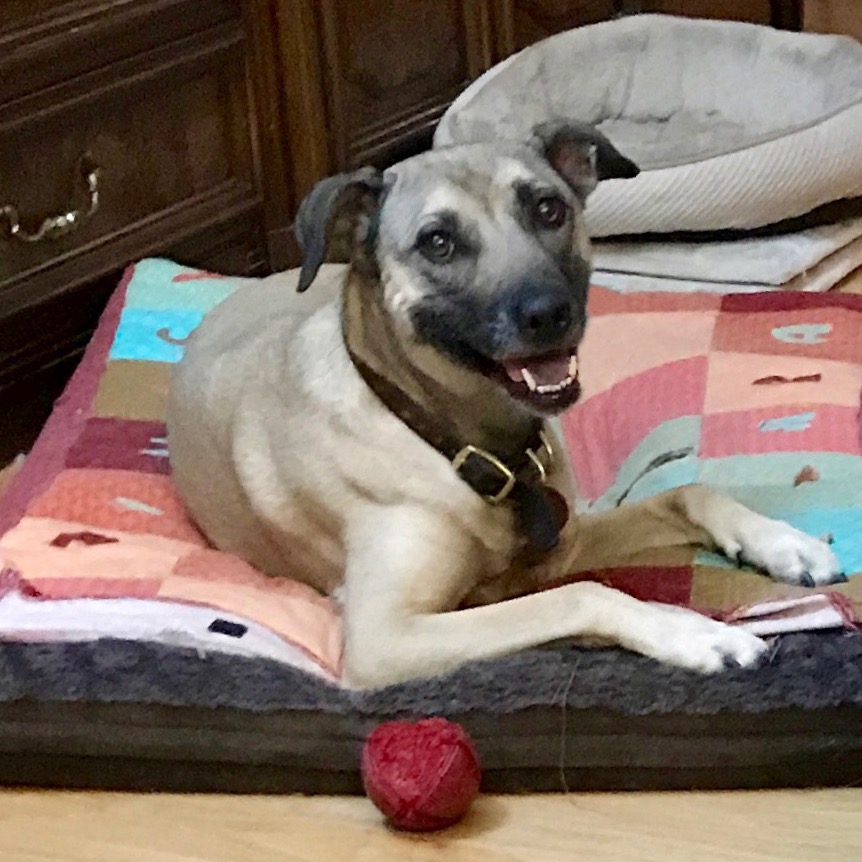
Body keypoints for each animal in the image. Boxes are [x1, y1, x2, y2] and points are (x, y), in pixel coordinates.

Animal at [165, 123, 840, 688]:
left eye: (548, 208)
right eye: (437, 242)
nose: (549, 314)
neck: (463, 442)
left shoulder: (564, 541)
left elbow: (688, 493)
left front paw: (784, 544)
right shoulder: (386, 639)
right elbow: (584, 594)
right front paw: (696, 633)